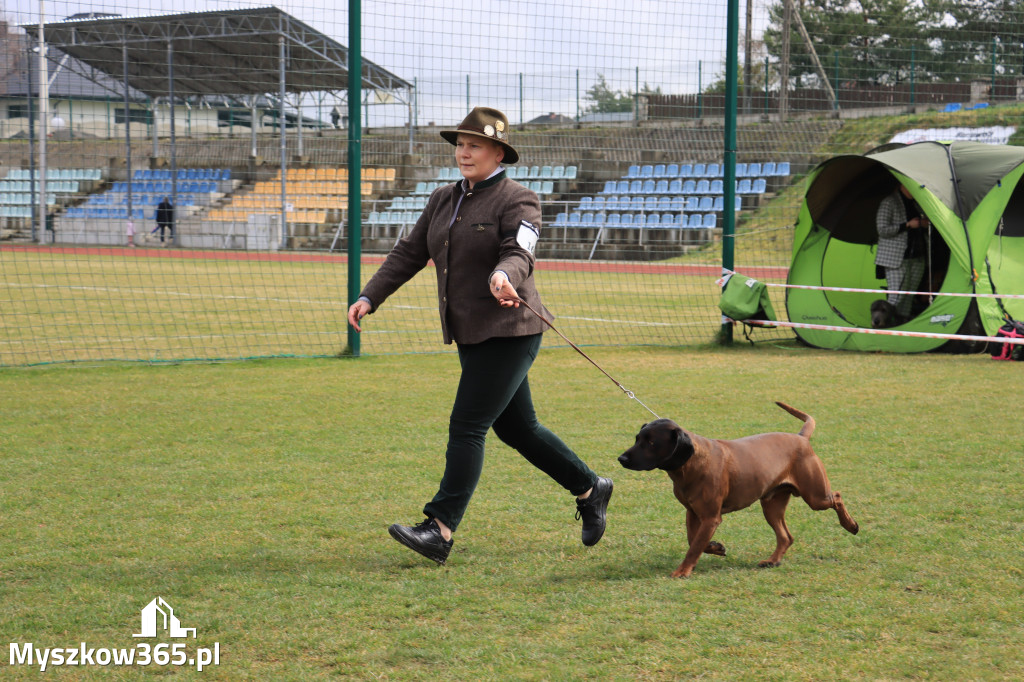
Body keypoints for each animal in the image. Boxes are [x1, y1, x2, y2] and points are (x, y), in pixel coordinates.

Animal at [618, 401, 860, 577]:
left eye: (651, 443)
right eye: (637, 438)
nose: (621, 458)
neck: (691, 462)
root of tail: (801, 438)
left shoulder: (711, 517)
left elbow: (694, 546)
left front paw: (682, 571)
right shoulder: (693, 512)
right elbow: (693, 539)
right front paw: (715, 547)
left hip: (816, 496)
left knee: (836, 496)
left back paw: (850, 525)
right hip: (772, 505)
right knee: (786, 537)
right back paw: (773, 560)